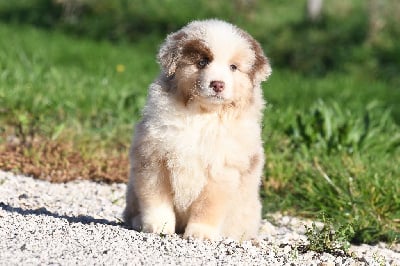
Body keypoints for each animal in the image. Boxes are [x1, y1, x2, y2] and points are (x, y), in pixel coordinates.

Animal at [122, 18, 272, 239]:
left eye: (233, 67)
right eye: (202, 62)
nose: (217, 84)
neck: (203, 116)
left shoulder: (222, 170)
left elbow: (208, 206)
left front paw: (200, 233)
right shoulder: (154, 158)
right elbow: (156, 199)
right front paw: (159, 226)